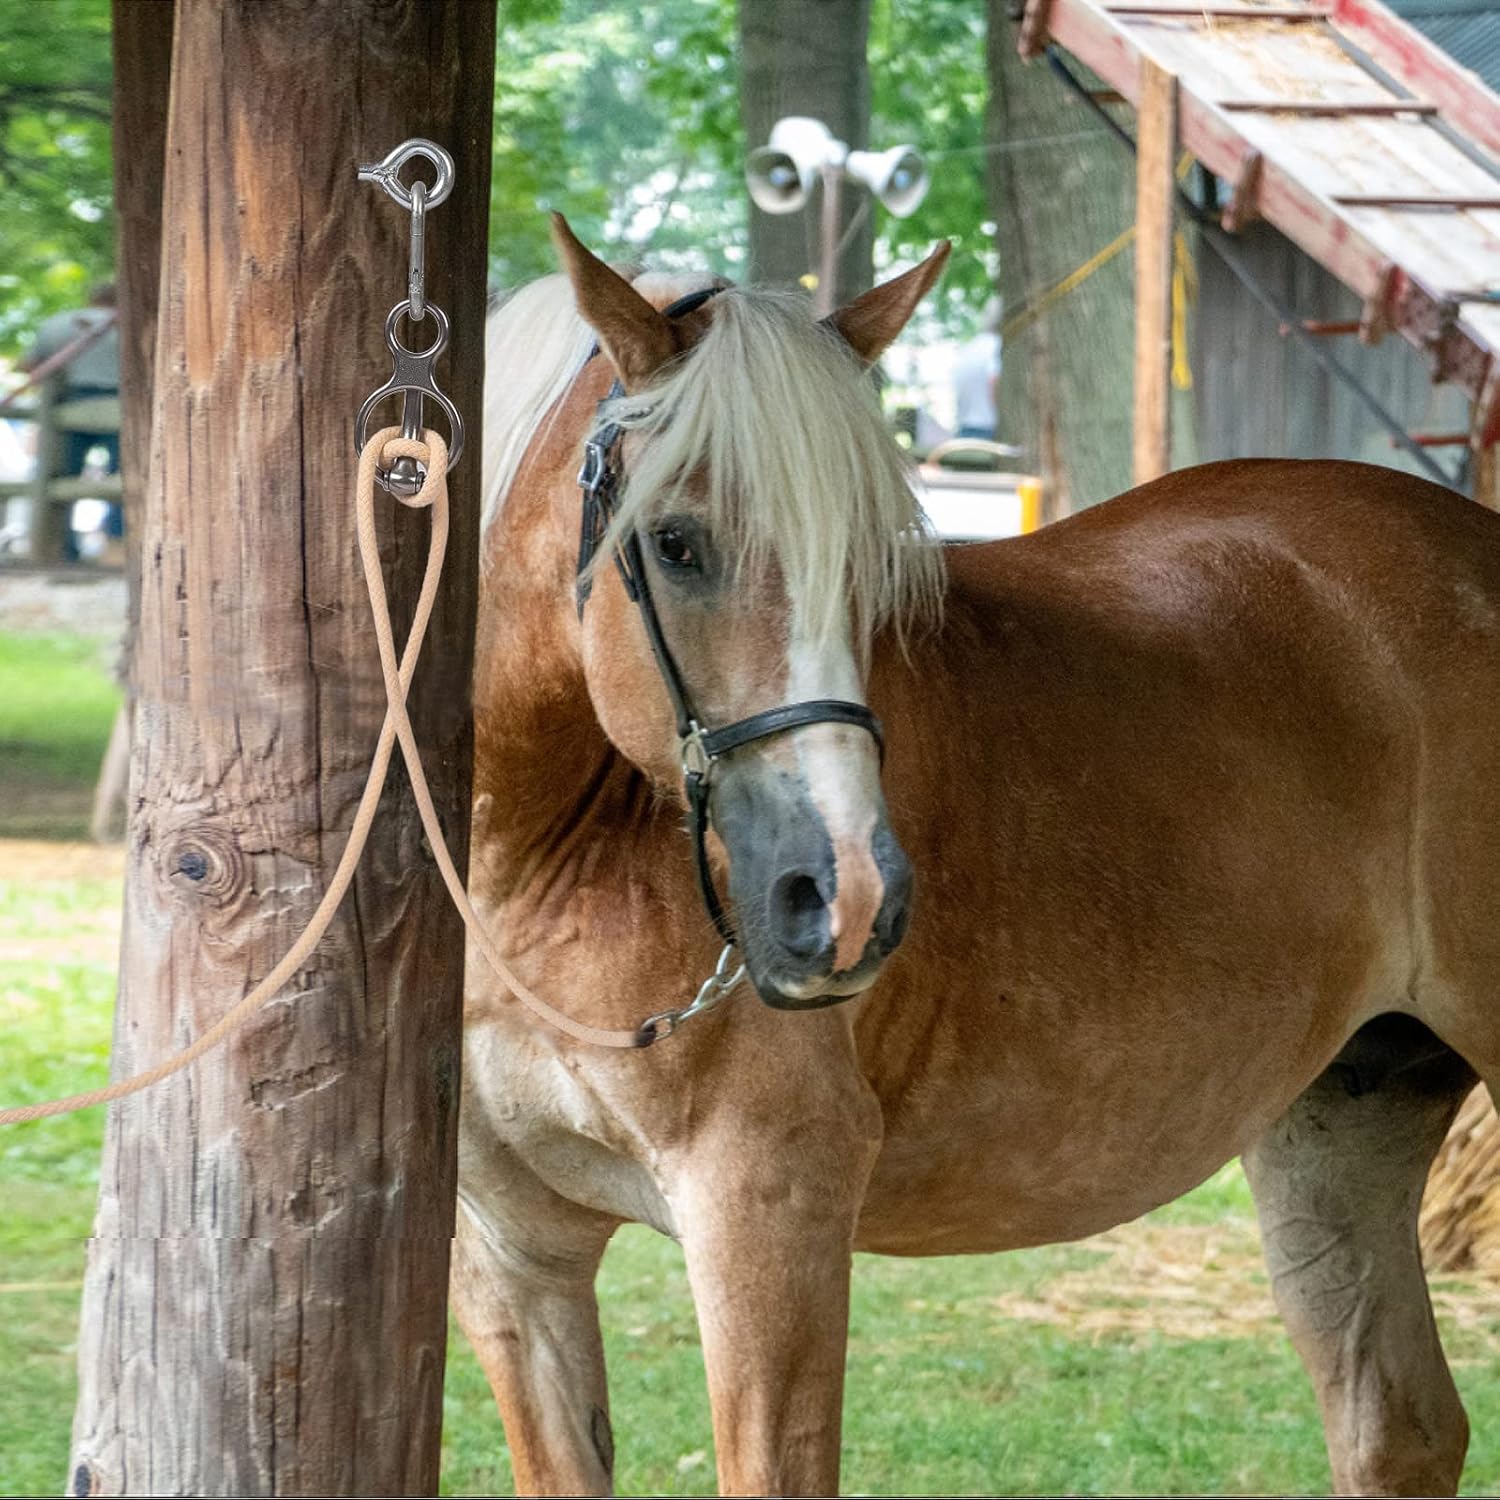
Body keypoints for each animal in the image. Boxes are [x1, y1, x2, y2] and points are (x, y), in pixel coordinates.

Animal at [451, 212, 1500, 1497]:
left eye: (874, 562)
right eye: (678, 544)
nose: (845, 898)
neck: (534, 862)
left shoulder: (768, 1214)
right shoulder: (514, 1256)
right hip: (1341, 1119)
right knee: (1399, 1427)